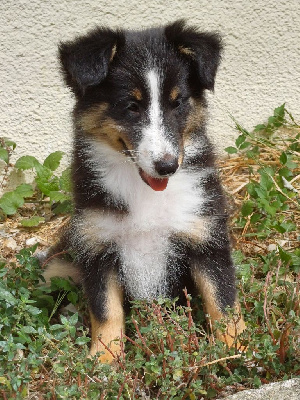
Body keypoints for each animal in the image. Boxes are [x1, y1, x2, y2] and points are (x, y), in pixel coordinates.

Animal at [45, 18, 245, 362]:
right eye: (131, 106)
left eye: (178, 103)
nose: (167, 166)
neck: (147, 192)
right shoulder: (98, 244)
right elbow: (106, 310)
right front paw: (104, 362)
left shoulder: (205, 235)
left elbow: (222, 299)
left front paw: (239, 351)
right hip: (58, 263)